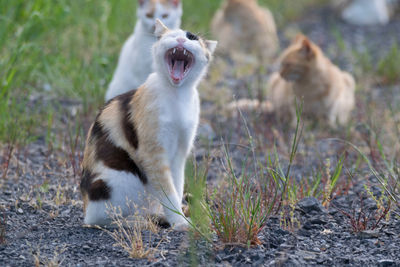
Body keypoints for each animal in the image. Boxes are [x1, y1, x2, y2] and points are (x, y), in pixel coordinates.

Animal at [81, 19, 217, 231]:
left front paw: (176, 217)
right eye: (172, 36)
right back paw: (134, 221)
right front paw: (180, 222)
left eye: (192, 37)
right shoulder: (153, 154)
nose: (180, 40)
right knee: (98, 219)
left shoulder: (179, 153)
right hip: (121, 177)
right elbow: (169, 192)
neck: (177, 96)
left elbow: (177, 187)